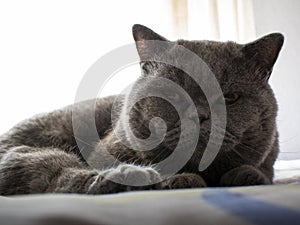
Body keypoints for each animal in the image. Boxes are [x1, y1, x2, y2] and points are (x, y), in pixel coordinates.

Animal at [0, 24, 284, 195]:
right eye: (173, 94)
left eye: (230, 97)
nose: (200, 115)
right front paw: (177, 179)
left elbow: (262, 171)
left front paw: (247, 174)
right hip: (29, 151)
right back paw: (138, 175)